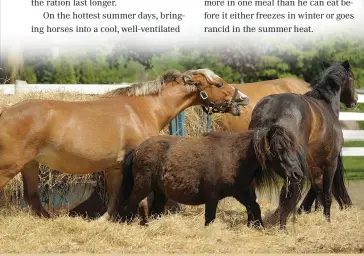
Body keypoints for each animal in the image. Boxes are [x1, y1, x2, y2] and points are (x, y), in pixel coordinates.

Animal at [0, 68, 249, 220]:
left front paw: (106, 220)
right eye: (219, 83)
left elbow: (115, 197)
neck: (143, 110)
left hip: (29, 165)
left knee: (33, 198)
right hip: (9, 167)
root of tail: (5, 113)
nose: (243, 99)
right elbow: (140, 197)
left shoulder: (114, 167)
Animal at [118, 131, 276, 227]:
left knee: (154, 211)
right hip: (143, 186)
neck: (233, 156)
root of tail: (137, 150)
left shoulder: (241, 192)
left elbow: (254, 207)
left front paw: (258, 226)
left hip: (160, 193)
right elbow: (210, 218)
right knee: (130, 203)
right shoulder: (212, 196)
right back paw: (126, 222)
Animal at [249, 60, 356, 230]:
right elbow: (326, 194)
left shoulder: (314, 167)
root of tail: (271, 109)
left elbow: (317, 190)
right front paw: (327, 220)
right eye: (352, 77)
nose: (355, 100)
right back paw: (282, 226)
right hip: (293, 169)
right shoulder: (330, 164)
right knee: (286, 193)